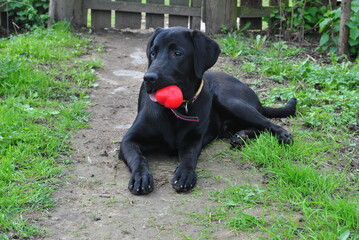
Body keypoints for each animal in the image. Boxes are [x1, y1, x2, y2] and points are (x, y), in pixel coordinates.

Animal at [119, 26, 296, 195]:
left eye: (177, 53)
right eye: (153, 53)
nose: (148, 78)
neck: (177, 109)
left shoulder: (193, 139)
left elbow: (189, 157)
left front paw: (185, 174)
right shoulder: (128, 140)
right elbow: (138, 158)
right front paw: (141, 177)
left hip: (228, 99)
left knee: (267, 123)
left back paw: (281, 135)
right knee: (257, 127)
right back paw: (241, 136)